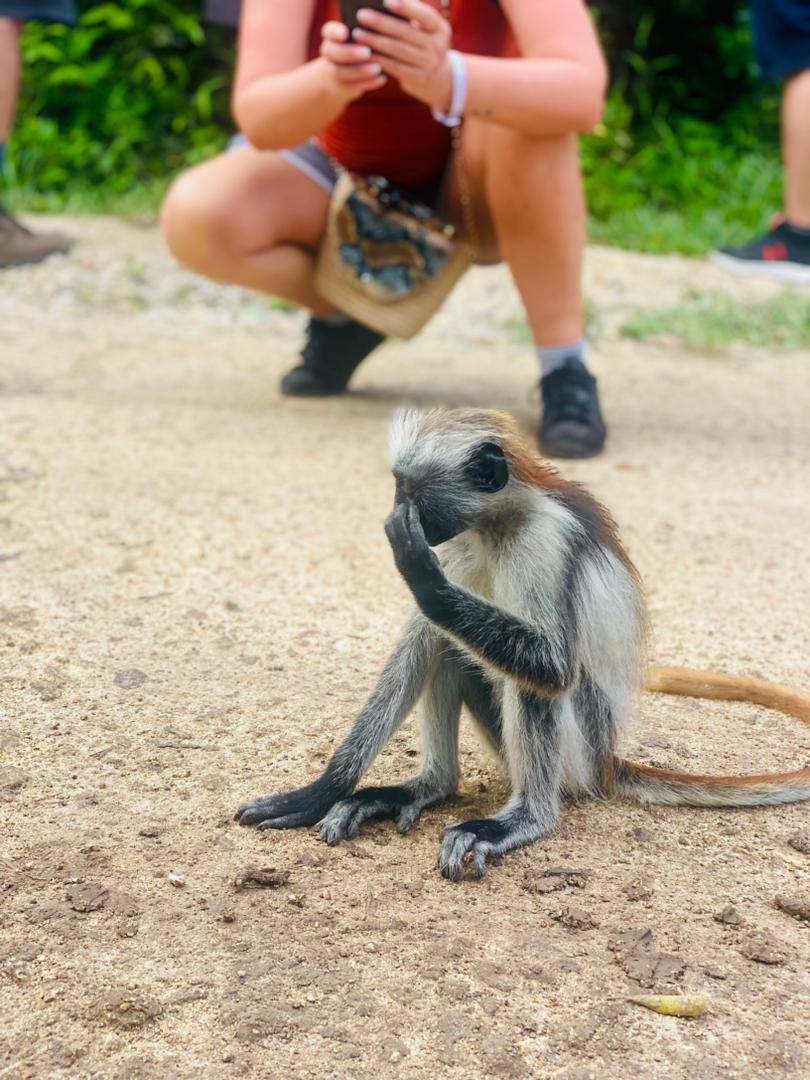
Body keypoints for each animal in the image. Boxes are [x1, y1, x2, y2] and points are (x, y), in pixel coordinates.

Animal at [236, 408, 810, 881]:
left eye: (407, 489)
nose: (393, 512)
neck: (498, 523)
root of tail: (606, 762)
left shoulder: (543, 540)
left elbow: (551, 665)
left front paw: (421, 576)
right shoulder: (461, 537)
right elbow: (422, 639)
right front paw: (324, 790)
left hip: (577, 751)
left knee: (537, 682)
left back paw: (526, 818)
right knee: (449, 649)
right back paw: (431, 785)